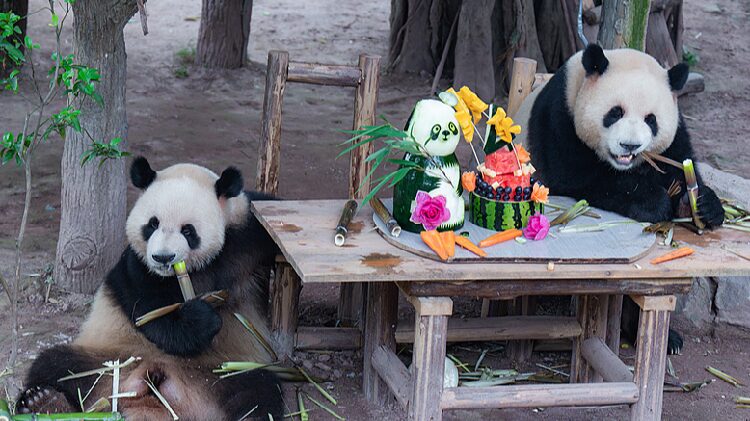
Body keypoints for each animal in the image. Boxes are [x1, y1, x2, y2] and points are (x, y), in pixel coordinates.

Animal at [17, 157, 283, 420]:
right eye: (152, 224)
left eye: (188, 230)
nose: (163, 257)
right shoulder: (138, 266)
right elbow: (151, 315)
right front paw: (201, 319)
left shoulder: (247, 234)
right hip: (106, 359)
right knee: (57, 364)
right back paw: (45, 402)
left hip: (222, 371)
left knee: (257, 391)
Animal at [517, 44, 725, 354]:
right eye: (615, 113)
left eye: (651, 119)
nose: (630, 145)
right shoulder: (558, 120)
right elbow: (582, 177)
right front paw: (654, 202)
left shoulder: (675, 136)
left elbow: (681, 167)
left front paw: (703, 206)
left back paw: (665, 339)